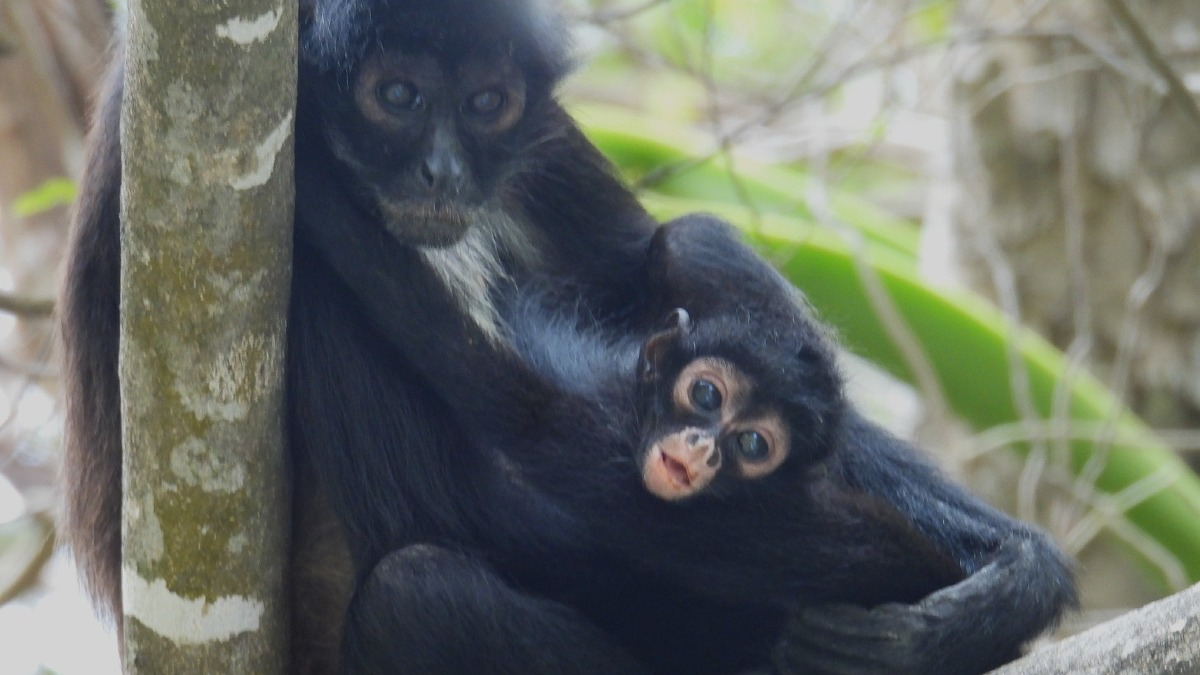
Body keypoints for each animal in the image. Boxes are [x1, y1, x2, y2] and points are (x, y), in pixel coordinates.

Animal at [58, 0, 1075, 673]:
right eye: (396, 94)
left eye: (486, 104)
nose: (442, 170)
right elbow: (505, 475)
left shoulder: (535, 145)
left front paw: (1008, 584)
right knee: (419, 593)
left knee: (689, 241)